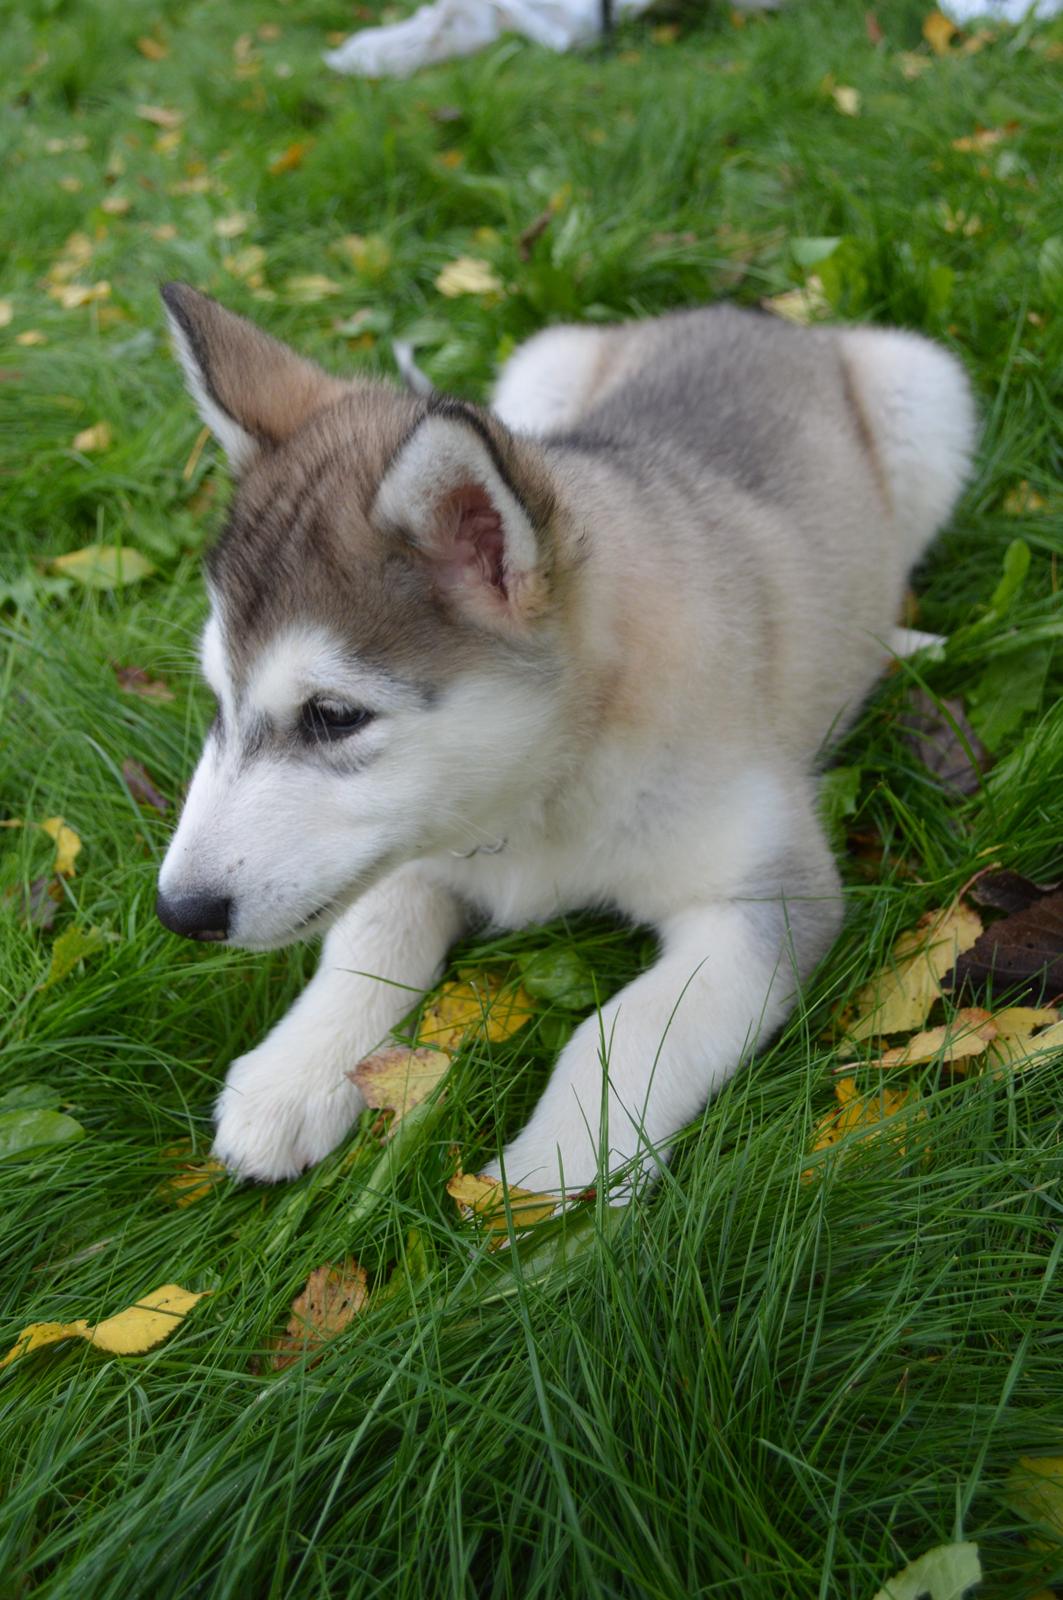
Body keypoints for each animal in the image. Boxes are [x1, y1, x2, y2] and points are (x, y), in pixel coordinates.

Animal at [153, 284, 973, 1190]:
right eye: (217, 696)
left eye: (334, 715)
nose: (177, 912)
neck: (539, 796)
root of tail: (746, 311)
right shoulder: (410, 839)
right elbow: (369, 935)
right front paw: (292, 1073)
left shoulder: (768, 898)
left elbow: (628, 1028)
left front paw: (554, 1176)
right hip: (540, 371)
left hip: (925, 390)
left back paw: (898, 646)